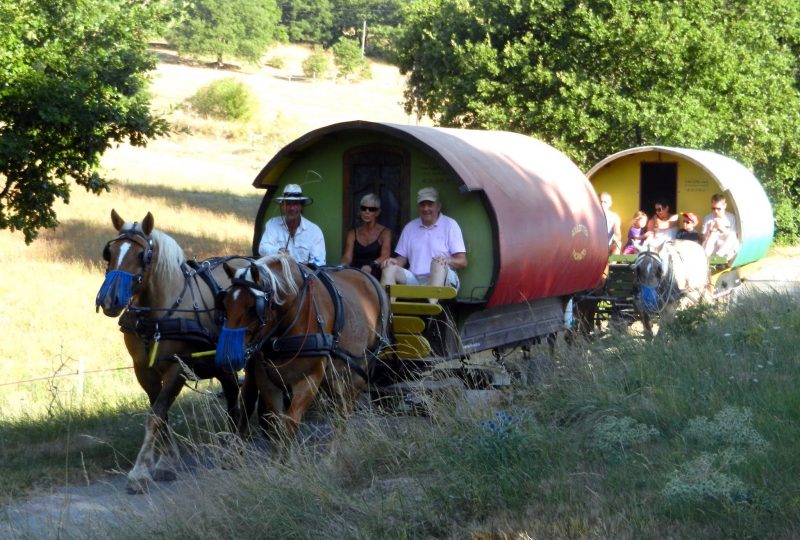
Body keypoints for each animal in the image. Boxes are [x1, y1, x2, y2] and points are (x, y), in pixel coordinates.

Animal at [95, 210, 250, 494]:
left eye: (142, 256)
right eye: (109, 253)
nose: (109, 300)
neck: (159, 315)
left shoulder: (178, 368)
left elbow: (156, 416)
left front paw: (139, 472)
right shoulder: (143, 370)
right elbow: (161, 413)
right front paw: (167, 462)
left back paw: (234, 447)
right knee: (234, 394)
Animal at [216, 254, 390, 442]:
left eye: (252, 307)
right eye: (225, 304)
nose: (227, 356)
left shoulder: (309, 379)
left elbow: (289, 425)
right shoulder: (267, 381)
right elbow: (277, 426)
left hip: (360, 370)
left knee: (345, 409)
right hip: (335, 374)